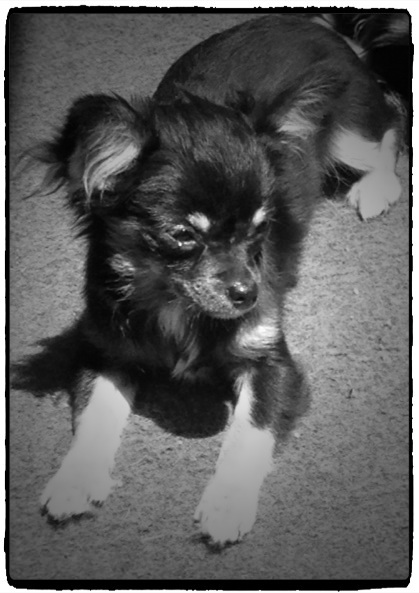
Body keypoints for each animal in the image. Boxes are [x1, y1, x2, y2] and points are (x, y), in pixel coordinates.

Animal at [36, 13, 409, 546]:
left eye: (261, 229)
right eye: (183, 236)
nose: (248, 293)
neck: (175, 305)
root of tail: (315, 23)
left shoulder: (271, 365)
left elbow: (248, 434)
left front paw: (227, 504)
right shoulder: (105, 352)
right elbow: (94, 417)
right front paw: (75, 480)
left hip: (349, 134)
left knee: (392, 130)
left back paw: (378, 188)